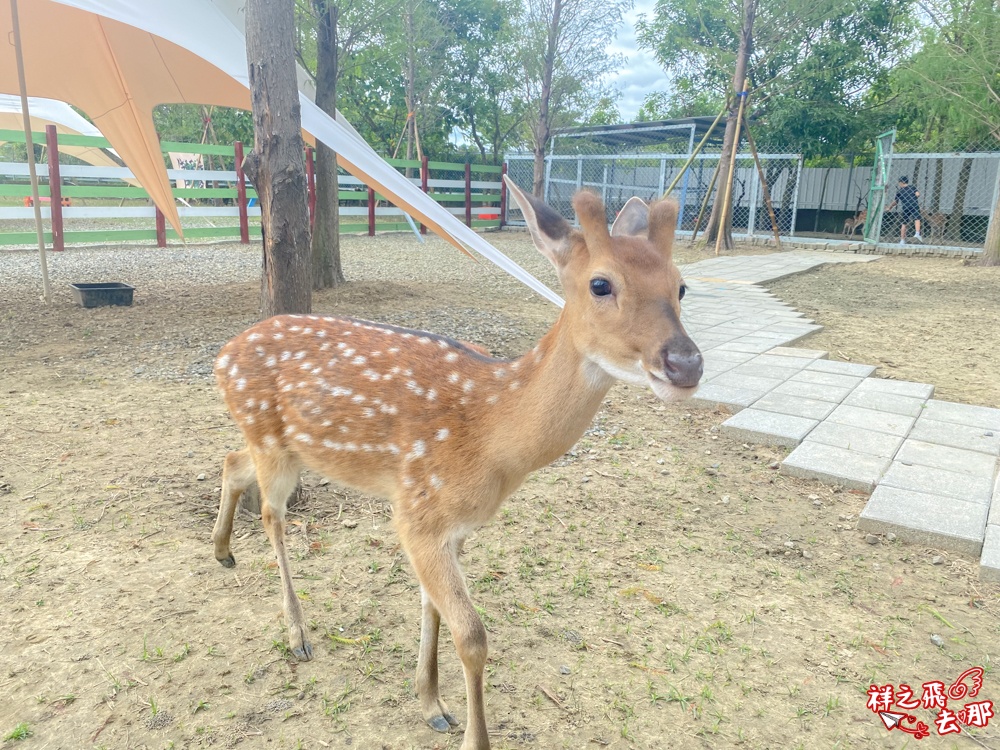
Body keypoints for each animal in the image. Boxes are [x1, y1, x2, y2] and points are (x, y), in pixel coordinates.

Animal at [213, 179, 704, 748]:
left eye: (681, 286)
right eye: (600, 284)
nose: (686, 364)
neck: (493, 440)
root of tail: (221, 357)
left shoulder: (455, 526)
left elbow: (433, 608)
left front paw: (431, 702)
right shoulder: (417, 511)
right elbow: (472, 635)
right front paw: (470, 734)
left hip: (283, 447)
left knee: (231, 461)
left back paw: (223, 552)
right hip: (270, 438)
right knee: (274, 514)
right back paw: (297, 634)